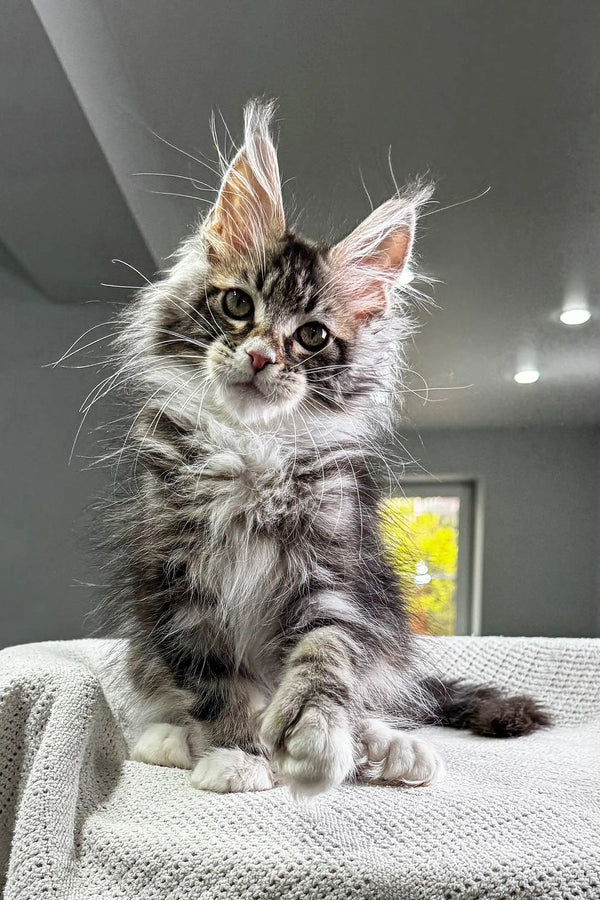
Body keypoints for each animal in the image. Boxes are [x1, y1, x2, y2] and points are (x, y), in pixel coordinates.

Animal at [97, 102, 548, 800]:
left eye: (312, 336)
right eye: (237, 303)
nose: (260, 356)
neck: (253, 446)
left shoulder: (335, 567)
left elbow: (328, 652)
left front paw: (312, 735)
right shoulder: (177, 582)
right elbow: (213, 682)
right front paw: (236, 752)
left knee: (381, 691)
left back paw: (388, 746)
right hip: (147, 645)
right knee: (164, 692)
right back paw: (171, 739)